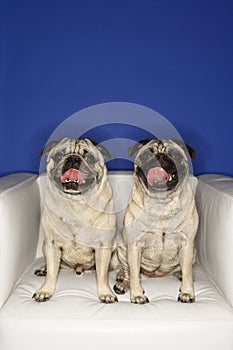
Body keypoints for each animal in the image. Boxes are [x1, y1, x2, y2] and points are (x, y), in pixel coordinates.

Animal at [32, 138, 117, 302]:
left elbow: (102, 276)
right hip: (45, 247)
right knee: (53, 266)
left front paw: (106, 293)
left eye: (89, 158)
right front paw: (45, 290)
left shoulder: (103, 246)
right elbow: (52, 273)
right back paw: (44, 269)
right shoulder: (52, 244)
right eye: (59, 156)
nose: (73, 158)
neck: (75, 203)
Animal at [114, 139, 198, 304]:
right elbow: (134, 274)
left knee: (184, 270)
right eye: (147, 154)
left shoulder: (186, 244)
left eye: (174, 155)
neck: (162, 204)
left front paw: (187, 292)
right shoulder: (134, 246)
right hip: (122, 249)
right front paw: (137, 295)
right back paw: (122, 283)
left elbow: (188, 273)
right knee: (128, 272)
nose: (160, 156)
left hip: (193, 252)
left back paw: (179, 274)